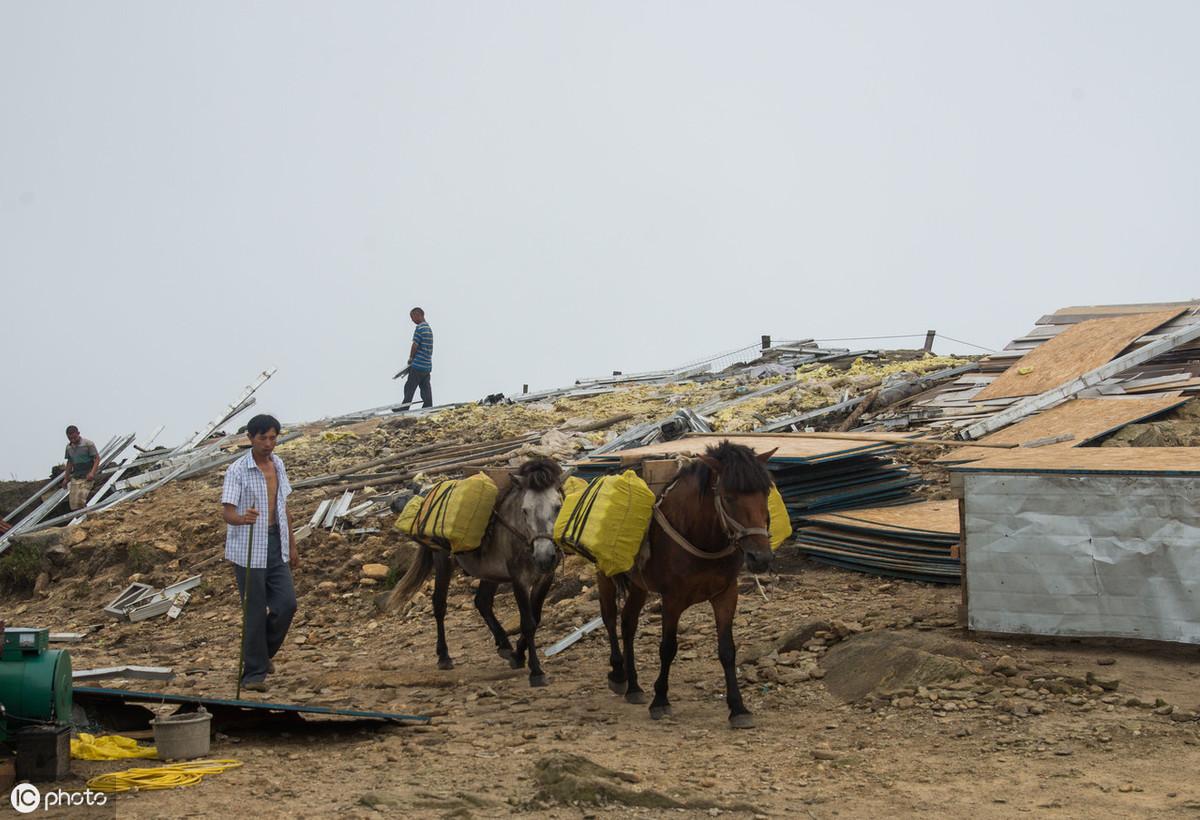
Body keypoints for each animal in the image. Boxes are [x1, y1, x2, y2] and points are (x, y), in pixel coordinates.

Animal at [381, 458, 564, 691]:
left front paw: (517, 655)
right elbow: (528, 623)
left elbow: (536, 617)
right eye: (525, 510)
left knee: (482, 602)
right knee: (439, 604)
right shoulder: (519, 580)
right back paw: (444, 657)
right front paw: (536, 671)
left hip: (490, 571)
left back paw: (505, 646)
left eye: (558, 507)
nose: (544, 557)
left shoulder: (545, 578)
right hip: (443, 560)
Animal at [595, 441, 772, 729]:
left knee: (628, 623)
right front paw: (660, 701)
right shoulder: (672, 599)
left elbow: (728, 650)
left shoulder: (726, 594)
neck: (702, 535)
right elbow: (668, 648)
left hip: (639, 585)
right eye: (728, 497)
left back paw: (634, 687)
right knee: (610, 618)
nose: (761, 558)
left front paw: (738, 708)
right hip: (604, 572)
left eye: (765, 493)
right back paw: (619, 675)